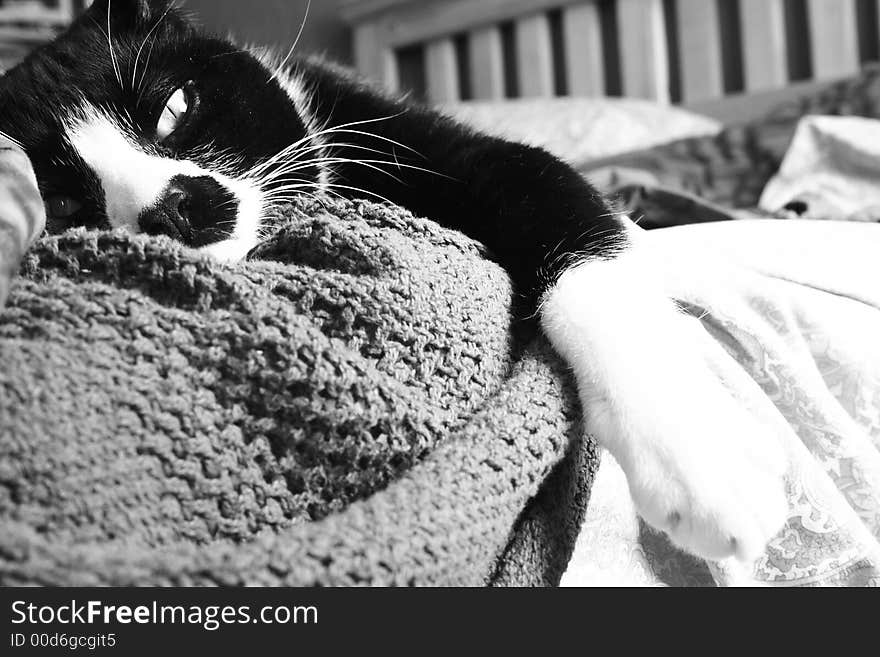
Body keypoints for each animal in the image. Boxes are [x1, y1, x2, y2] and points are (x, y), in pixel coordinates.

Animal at [0, 1, 784, 564]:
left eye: (175, 106)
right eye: (61, 204)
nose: (177, 205)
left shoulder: (447, 145)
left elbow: (567, 214)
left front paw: (699, 454)